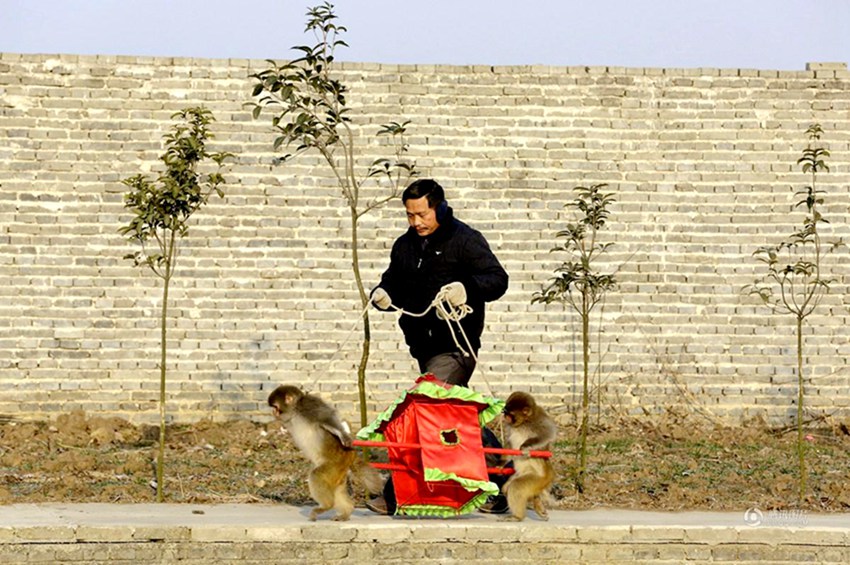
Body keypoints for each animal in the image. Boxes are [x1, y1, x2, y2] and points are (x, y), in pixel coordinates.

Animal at [268, 384, 380, 520]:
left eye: (276, 407)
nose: (273, 412)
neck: (295, 411)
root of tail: (351, 454)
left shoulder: (309, 406)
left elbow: (327, 418)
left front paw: (344, 435)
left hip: (337, 462)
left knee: (316, 475)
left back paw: (327, 506)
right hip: (340, 470)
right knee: (337, 488)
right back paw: (346, 511)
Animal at [496, 392, 556, 520]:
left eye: (510, 414)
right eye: (506, 412)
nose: (505, 417)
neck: (523, 422)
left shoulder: (539, 419)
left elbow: (549, 433)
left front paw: (525, 447)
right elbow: (509, 445)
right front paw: (500, 464)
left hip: (539, 478)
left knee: (516, 486)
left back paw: (517, 517)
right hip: (520, 474)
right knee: (507, 487)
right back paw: (536, 500)